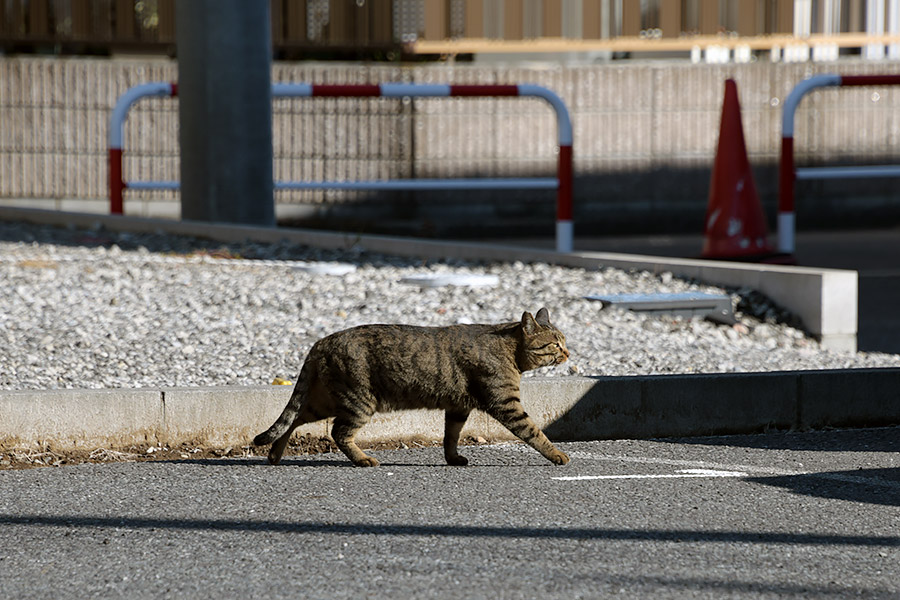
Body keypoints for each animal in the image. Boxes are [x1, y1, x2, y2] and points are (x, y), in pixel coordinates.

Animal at [253, 310, 568, 468]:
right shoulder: (506, 403)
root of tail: (322, 340)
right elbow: (535, 432)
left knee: (294, 419)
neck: (511, 351)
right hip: (359, 401)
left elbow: (450, 437)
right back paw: (363, 459)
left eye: (563, 341)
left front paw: (453, 459)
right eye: (554, 344)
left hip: (327, 400)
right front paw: (556, 455)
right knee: (338, 432)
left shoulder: (458, 407)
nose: (568, 353)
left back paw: (274, 455)